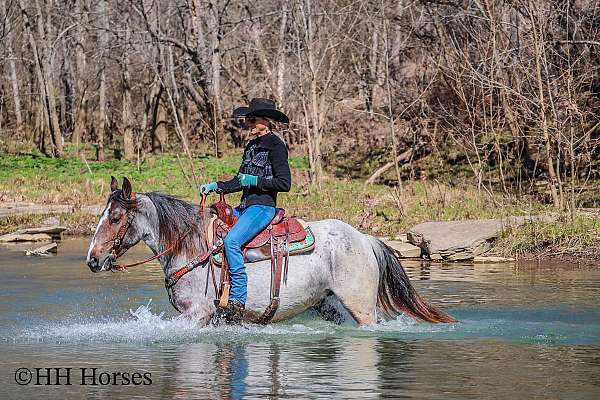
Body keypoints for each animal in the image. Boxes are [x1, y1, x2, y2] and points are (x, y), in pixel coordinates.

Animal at [86, 177, 458, 326]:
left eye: (115, 217)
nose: (92, 259)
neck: (191, 247)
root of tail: (366, 239)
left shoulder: (198, 314)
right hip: (329, 304)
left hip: (361, 307)